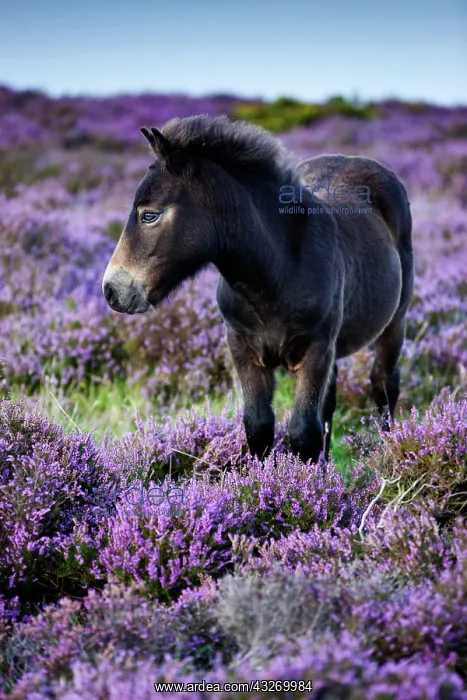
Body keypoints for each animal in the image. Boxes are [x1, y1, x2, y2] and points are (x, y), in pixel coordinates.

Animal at [102, 115, 414, 465]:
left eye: (150, 215)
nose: (112, 290)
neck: (273, 278)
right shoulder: (243, 347)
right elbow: (259, 427)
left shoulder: (316, 348)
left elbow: (303, 432)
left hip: (394, 323)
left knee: (383, 385)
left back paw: (389, 448)